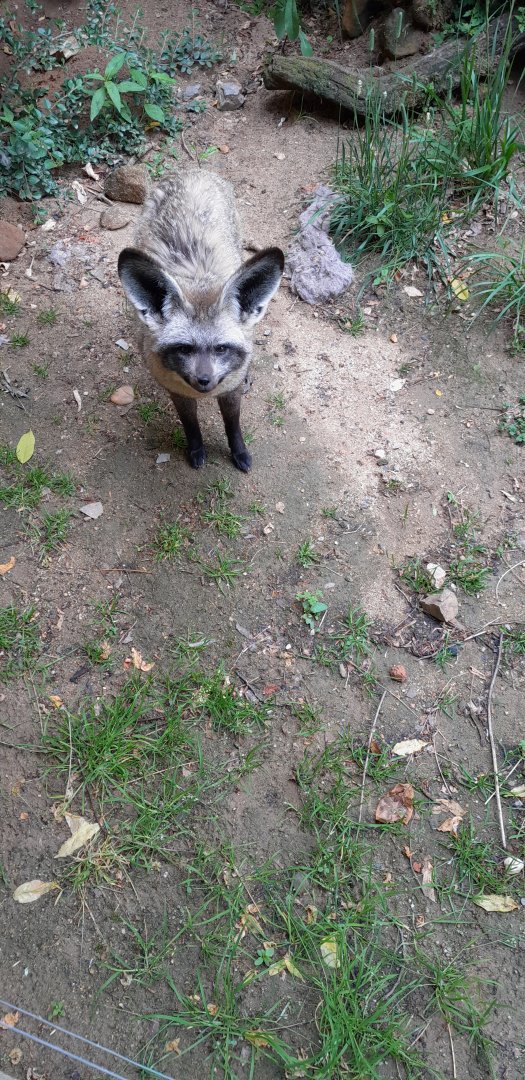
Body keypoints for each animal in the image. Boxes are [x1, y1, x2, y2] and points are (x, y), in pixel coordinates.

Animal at [117, 169, 284, 472]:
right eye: (184, 348)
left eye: (221, 348)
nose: (204, 380)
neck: (198, 280)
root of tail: (192, 171)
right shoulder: (177, 391)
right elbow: (190, 425)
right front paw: (196, 449)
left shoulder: (230, 390)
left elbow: (233, 424)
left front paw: (239, 451)